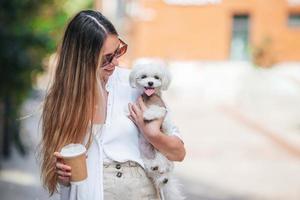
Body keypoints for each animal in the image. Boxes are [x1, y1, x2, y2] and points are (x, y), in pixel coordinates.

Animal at [129, 58, 185, 200]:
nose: (150, 83)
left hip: (163, 155)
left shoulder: (162, 110)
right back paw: (155, 169)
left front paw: (147, 115)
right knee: (151, 169)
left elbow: (157, 111)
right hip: (145, 158)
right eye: (144, 76)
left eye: (156, 77)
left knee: (164, 168)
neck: (149, 98)